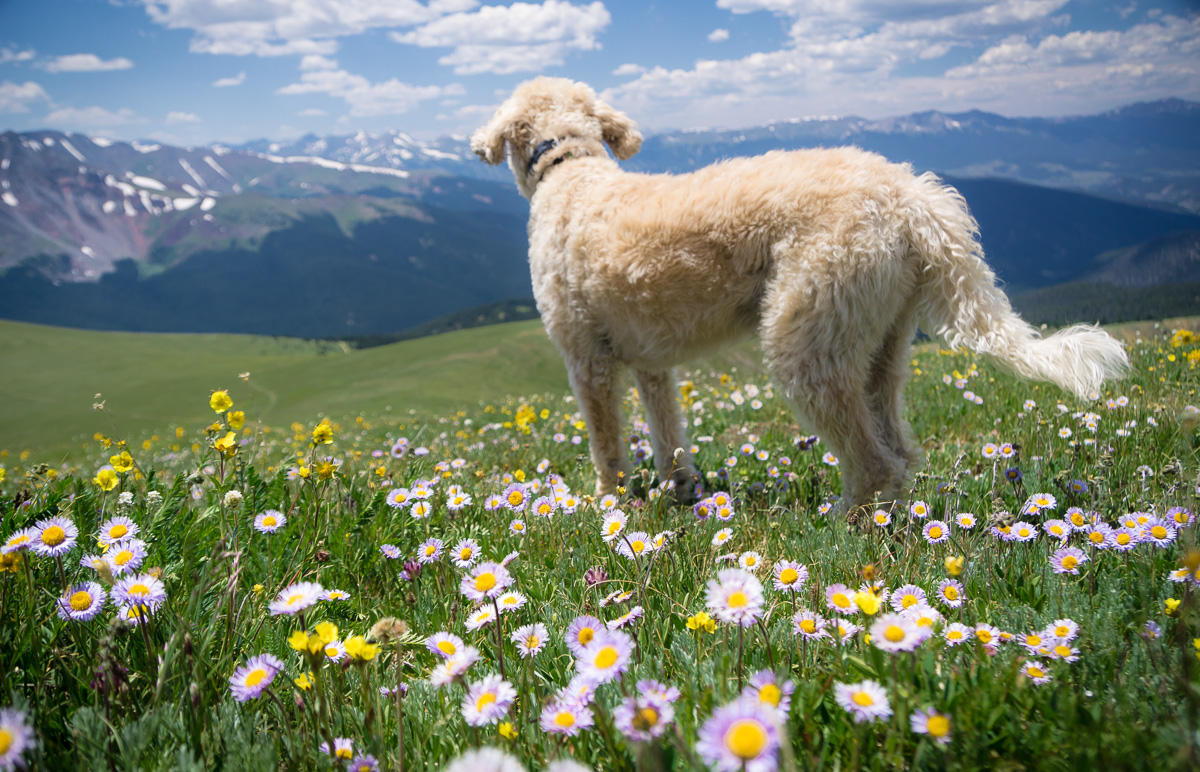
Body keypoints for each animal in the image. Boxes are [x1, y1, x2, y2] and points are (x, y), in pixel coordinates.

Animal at [472, 78, 1128, 513]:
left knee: (872, 461)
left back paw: (839, 528)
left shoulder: (587, 361)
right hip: (878, 339)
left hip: (806, 336)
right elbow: (668, 432)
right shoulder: (652, 364)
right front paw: (679, 489)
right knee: (896, 448)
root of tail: (912, 199)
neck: (568, 167)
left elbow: (607, 444)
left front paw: (606, 505)